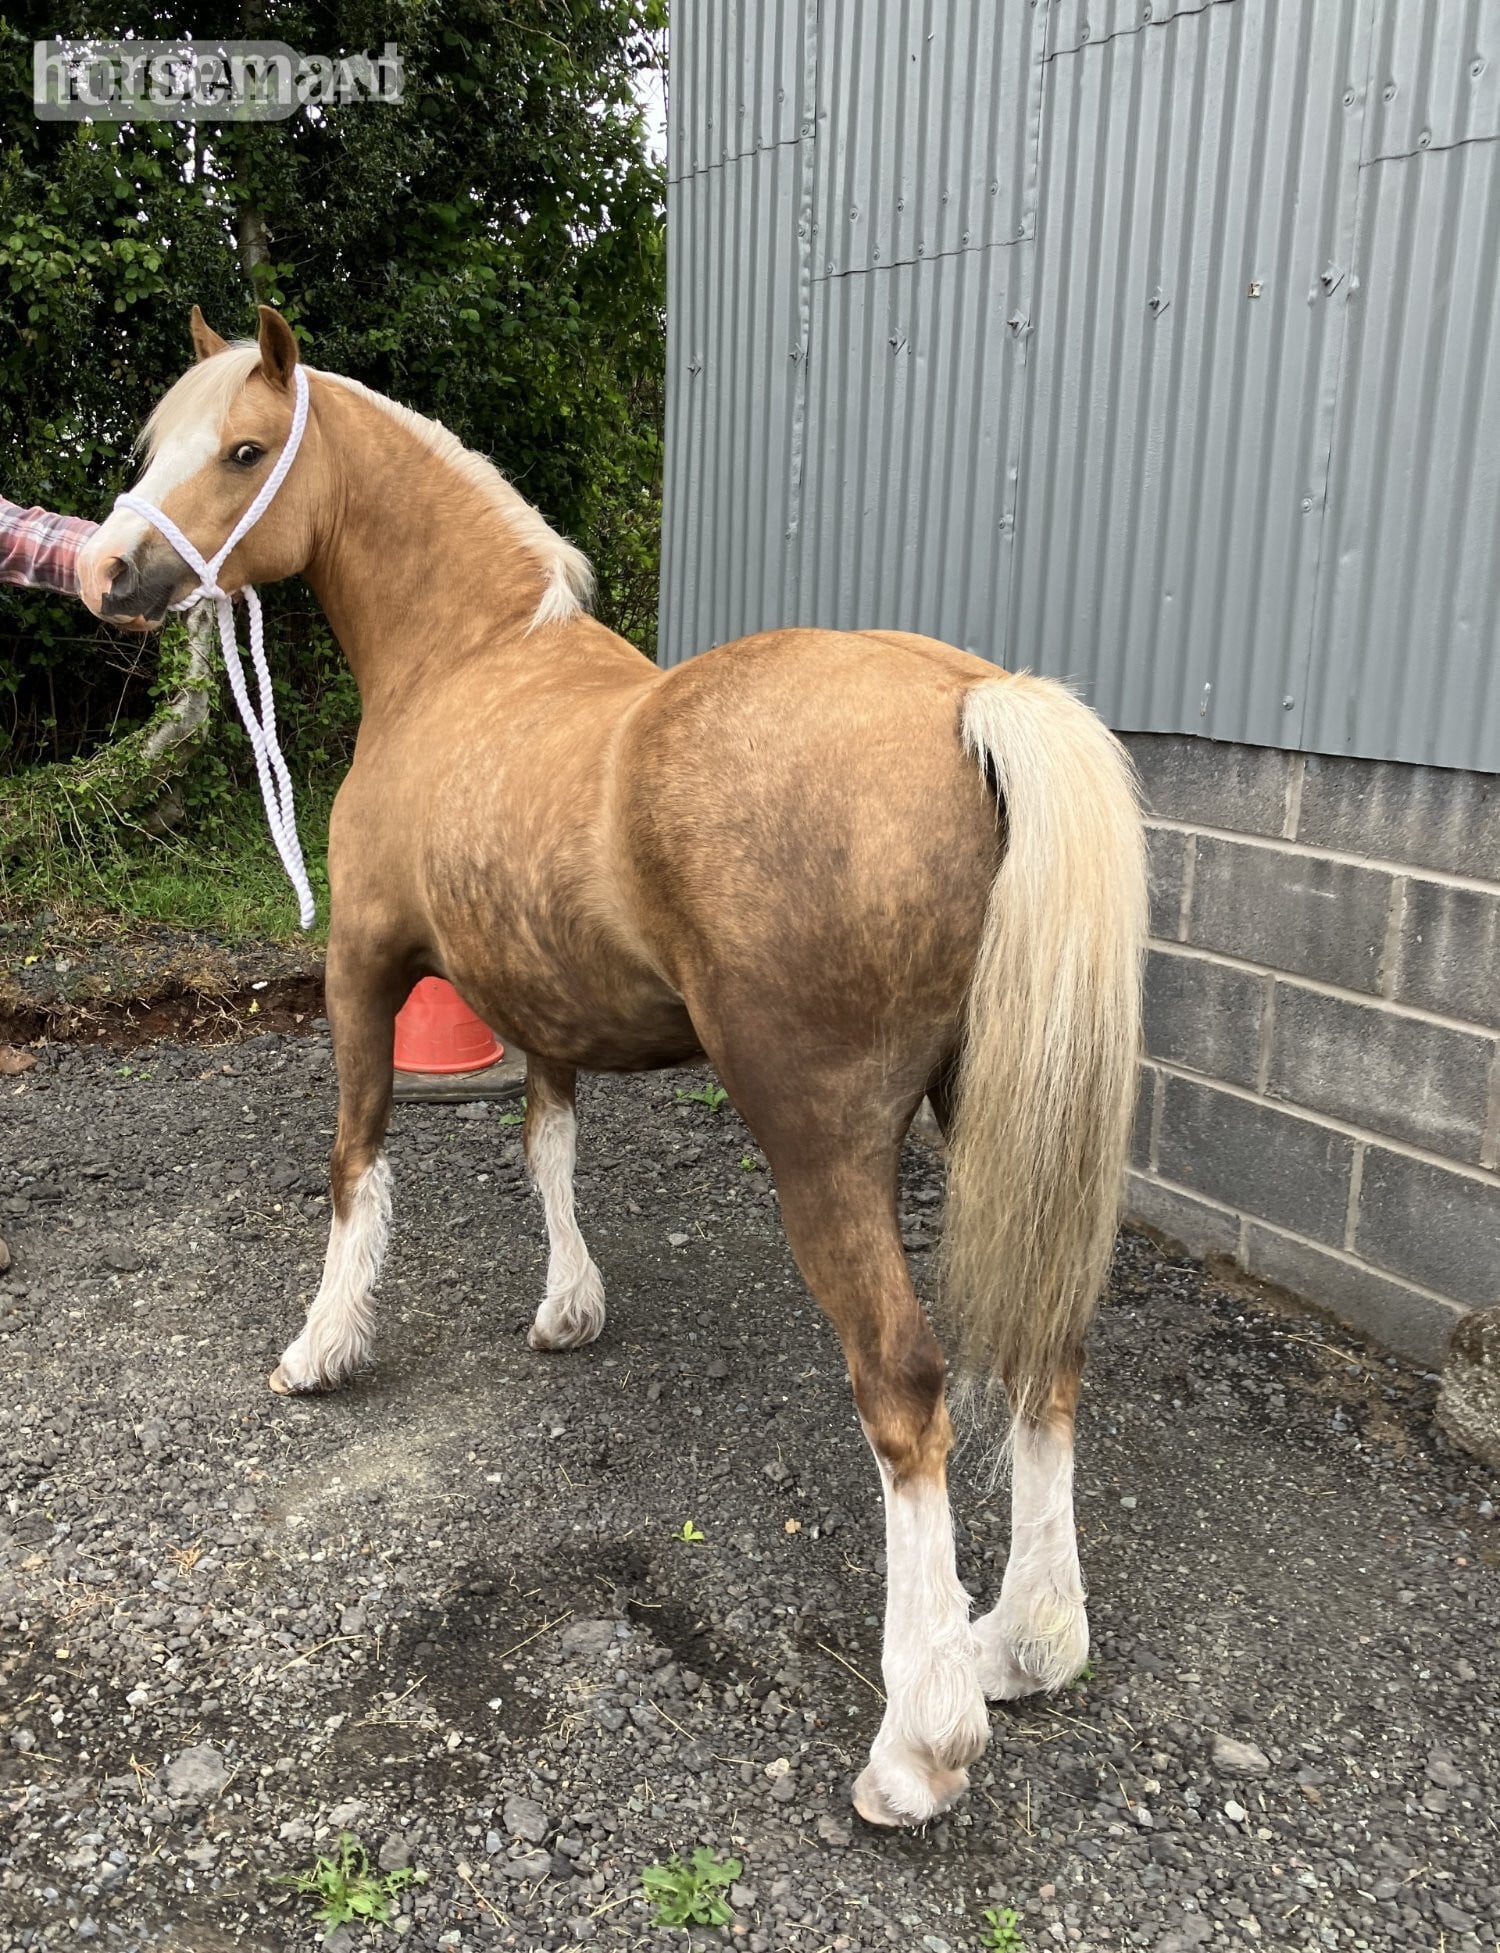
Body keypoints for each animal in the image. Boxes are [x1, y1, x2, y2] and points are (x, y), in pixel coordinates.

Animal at [80, 305, 1147, 1829]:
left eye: (240, 448)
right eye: (154, 440)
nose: (107, 570)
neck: (465, 660)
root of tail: (969, 699)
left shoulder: (361, 969)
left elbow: (356, 1161)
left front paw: (325, 1344)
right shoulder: (542, 998)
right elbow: (550, 1143)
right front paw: (569, 1307)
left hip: (822, 1141)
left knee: (905, 1387)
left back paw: (920, 1742)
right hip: (1000, 1120)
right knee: (1048, 1355)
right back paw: (1027, 1644)